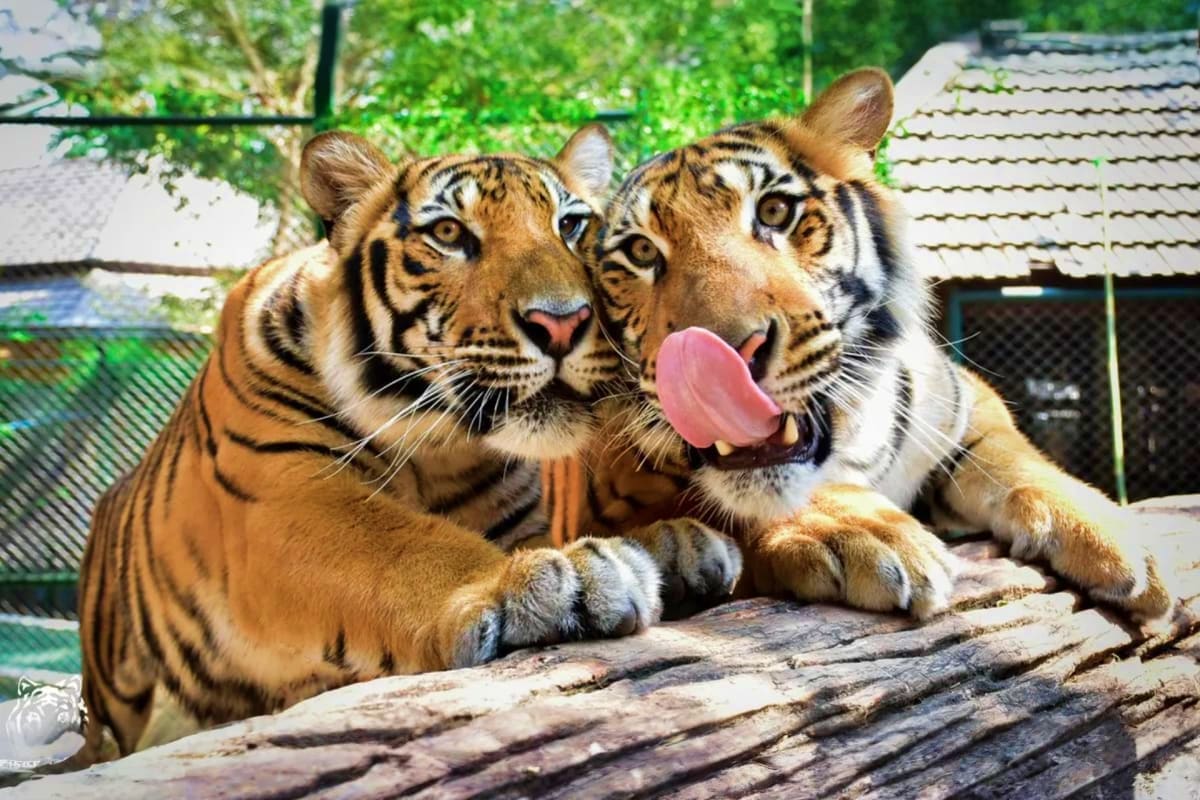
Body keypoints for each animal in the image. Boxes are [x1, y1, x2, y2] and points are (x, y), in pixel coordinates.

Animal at [76, 126, 740, 762]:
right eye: (448, 233)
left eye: (571, 226)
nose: (563, 322)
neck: (442, 451)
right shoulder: (282, 499)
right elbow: (407, 546)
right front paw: (560, 578)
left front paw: (675, 544)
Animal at [577, 68, 1177, 623]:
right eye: (641, 252)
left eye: (774, 212)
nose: (720, 361)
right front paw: (868, 531)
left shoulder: (966, 404)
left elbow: (1015, 461)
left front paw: (1119, 539)